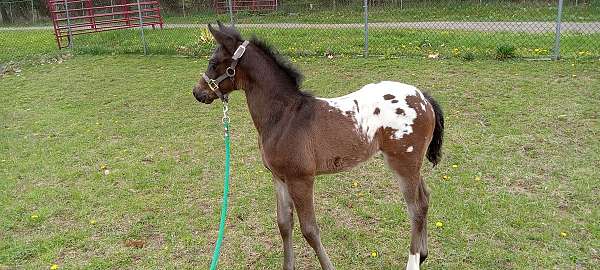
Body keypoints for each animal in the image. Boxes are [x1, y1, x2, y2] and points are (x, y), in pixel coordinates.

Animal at [193, 22, 446, 270]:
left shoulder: (301, 179)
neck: (284, 116)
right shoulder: (279, 178)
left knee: (415, 209)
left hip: (403, 163)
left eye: (213, 63)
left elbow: (309, 230)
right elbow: (284, 223)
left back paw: (413, 261)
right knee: (425, 199)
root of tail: (423, 98)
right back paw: (423, 254)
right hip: (412, 165)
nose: (197, 92)